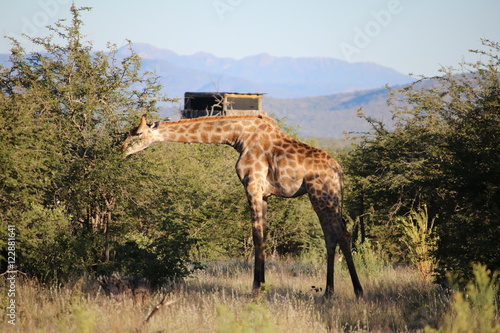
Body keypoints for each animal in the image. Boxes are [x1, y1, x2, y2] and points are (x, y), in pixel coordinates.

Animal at [121, 114, 364, 296]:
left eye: (138, 133)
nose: (121, 150)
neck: (238, 137)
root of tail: (339, 171)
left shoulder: (252, 185)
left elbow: (256, 236)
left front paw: (255, 288)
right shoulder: (264, 194)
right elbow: (263, 236)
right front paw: (263, 285)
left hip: (321, 194)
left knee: (342, 234)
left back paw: (358, 291)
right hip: (329, 197)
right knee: (331, 237)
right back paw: (328, 292)